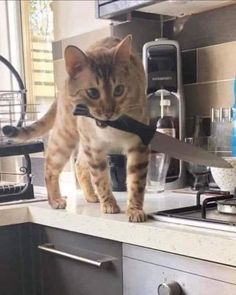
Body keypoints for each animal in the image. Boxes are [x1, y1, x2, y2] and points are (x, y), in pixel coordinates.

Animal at [2, 35, 148, 222]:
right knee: (50, 168)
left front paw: (135, 210)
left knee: (79, 165)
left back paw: (91, 196)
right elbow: (101, 179)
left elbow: (136, 182)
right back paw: (55, 200)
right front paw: (109, 204)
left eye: (119, 90)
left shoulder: (138, 144)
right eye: (93, 92)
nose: (108, 112)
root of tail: (63, 85)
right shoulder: (94, 147)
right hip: (66, 137)